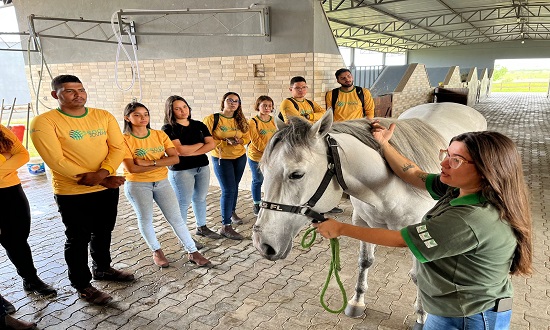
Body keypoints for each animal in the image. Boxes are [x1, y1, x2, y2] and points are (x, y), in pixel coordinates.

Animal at [252, 102, 490, 328]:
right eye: (263, 170)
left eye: (296, 174)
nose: (263, 245)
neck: (387, 186)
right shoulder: (364, 223)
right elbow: (364, 262)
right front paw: (357, 302)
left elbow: (420, 278)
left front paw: (422, 315)